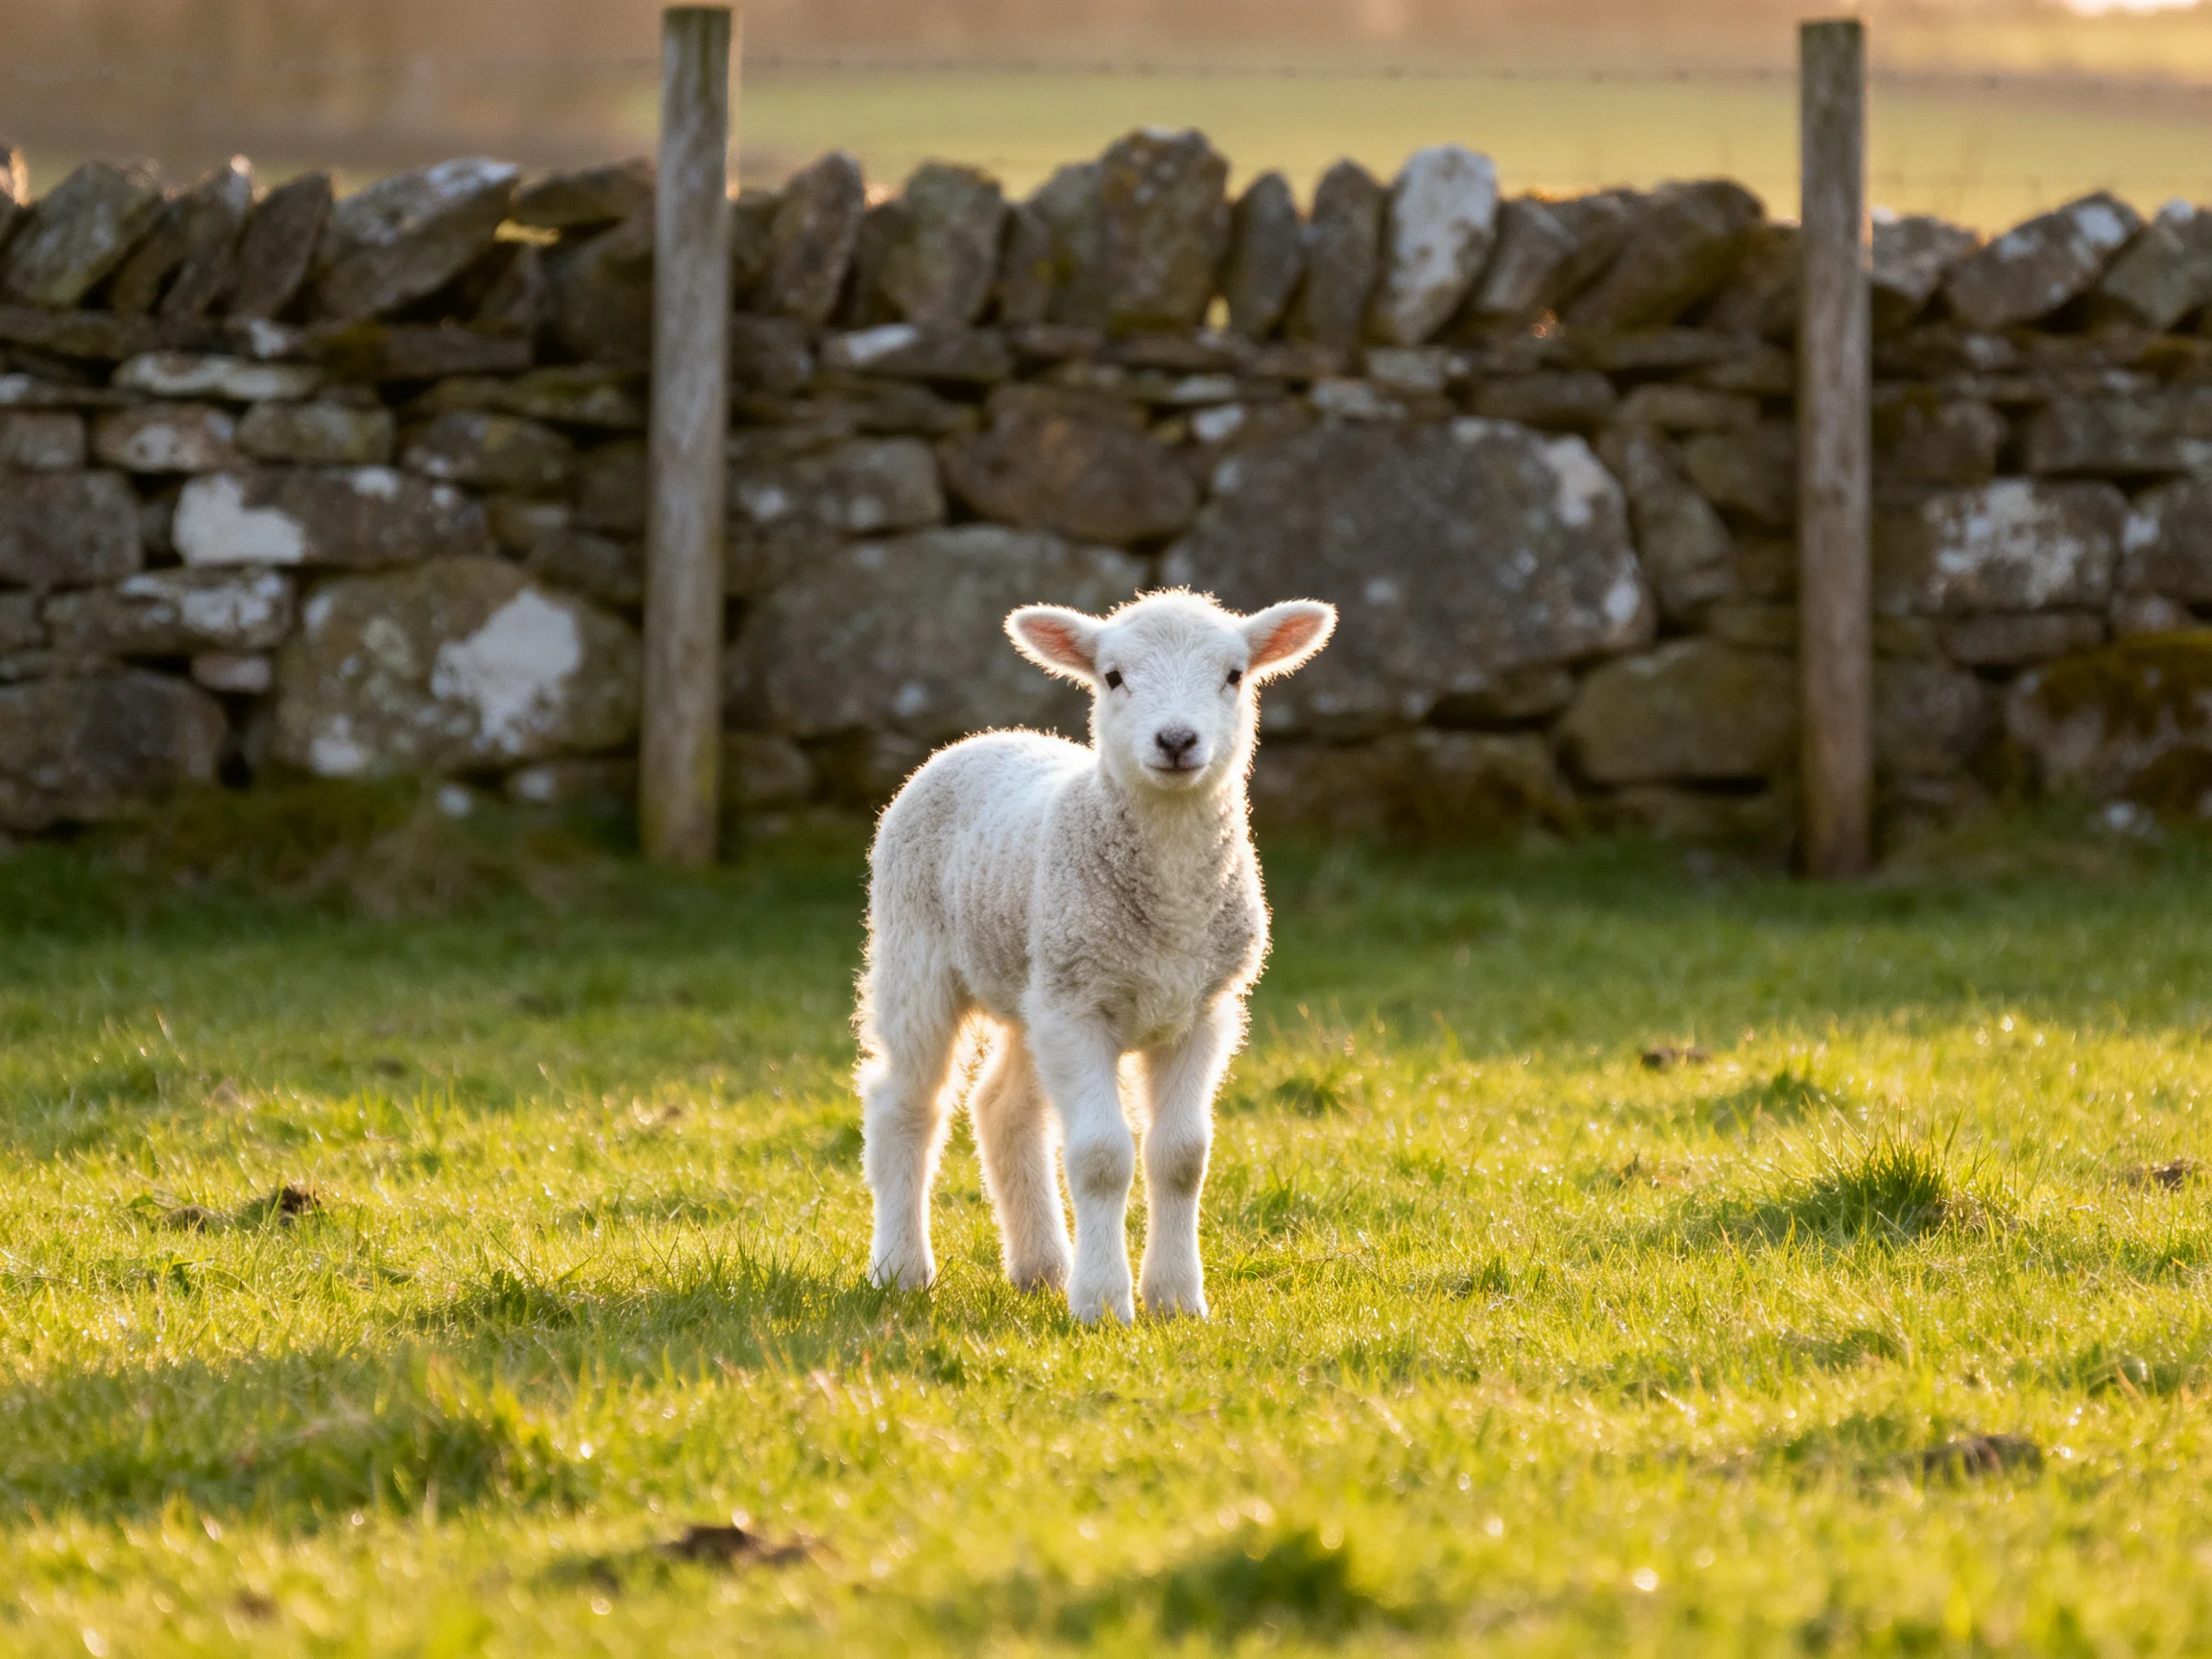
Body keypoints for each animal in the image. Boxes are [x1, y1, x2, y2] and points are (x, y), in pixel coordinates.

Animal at [855, 588, 1336, 1324]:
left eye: (1233, 675)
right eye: (1113, 677)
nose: (1176, 740)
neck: (1171, 909)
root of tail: (983, 737)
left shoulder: (1203, 1010)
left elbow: (1182, 1156)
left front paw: (1175, 1298)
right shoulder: (1079, 1010)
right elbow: (1103, 1156)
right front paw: (1104, 1303)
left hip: (1033, 979)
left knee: (1003, 1109)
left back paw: (1040, 1267)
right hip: (917, 953)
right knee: (905, 1104)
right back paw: (902, 1268)